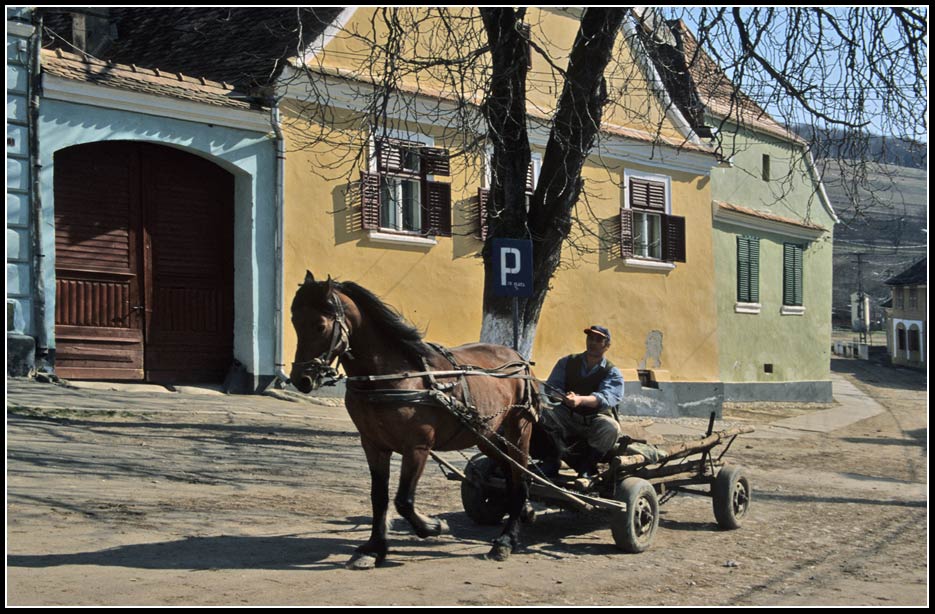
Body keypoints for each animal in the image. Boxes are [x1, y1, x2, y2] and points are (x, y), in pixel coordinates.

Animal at [288, 272, 536, 572]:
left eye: (320, 325)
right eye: (294, 321)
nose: (301, 379)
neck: (392, 376)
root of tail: (518, 358)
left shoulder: (417, 447)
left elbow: (403, 500)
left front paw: (432, 525)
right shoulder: (373, 444)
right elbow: (380, 497)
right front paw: (374, 548)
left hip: (518, 433)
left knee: (520, 479)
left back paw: (506, 540)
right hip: (487, 438)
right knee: (510, 475)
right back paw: (522, 512)